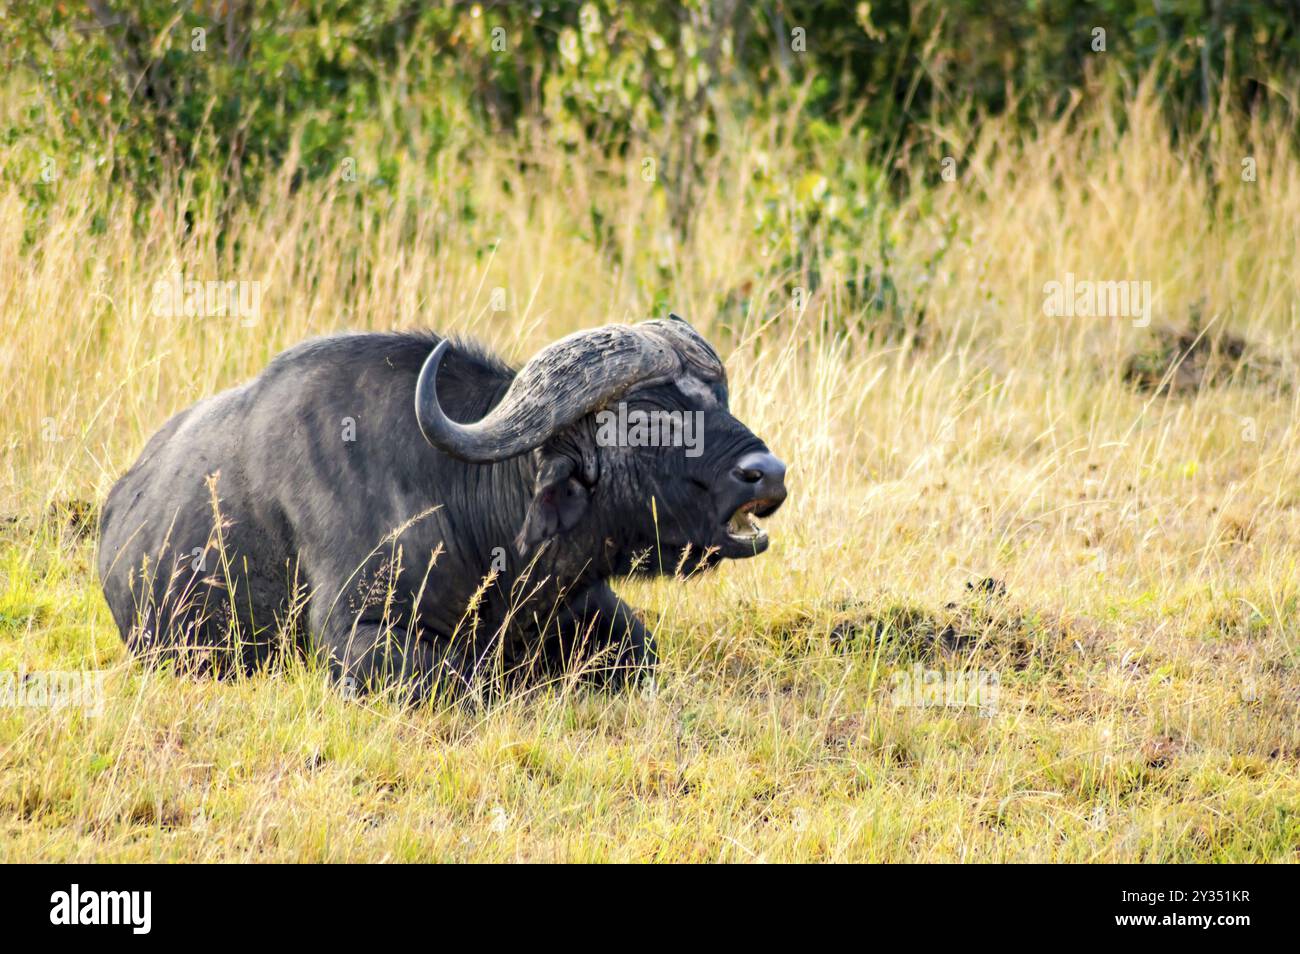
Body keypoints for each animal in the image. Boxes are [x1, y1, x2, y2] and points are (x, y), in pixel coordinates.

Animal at [96, 317, 785, 696]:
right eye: (644, 418)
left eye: (718, 397)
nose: (768, 473)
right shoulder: (355, 638)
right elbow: (462, 678)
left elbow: (642, 655)